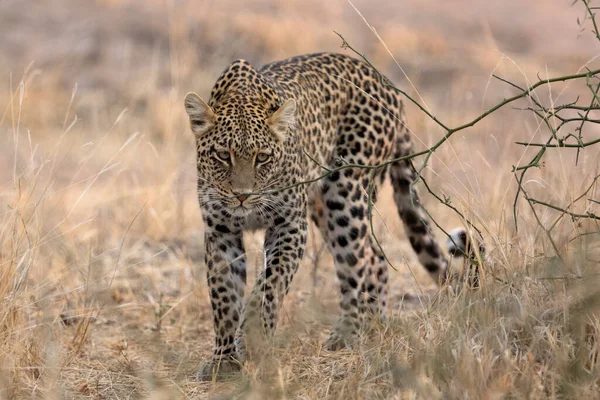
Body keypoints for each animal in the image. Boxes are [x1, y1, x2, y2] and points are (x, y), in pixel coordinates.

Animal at [185, 51, 476, 380]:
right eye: (223, 155)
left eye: (263, 157)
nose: (242, 195)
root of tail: (386, 84)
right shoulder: (220, 232)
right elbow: (224, 297)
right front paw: (224, 360)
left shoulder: (290, 225)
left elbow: (270, 284)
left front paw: (253, 335)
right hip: (324, 207)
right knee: (374, 255)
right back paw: (375, 323)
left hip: (346, 193)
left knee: (357, 260)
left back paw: (347, 333)